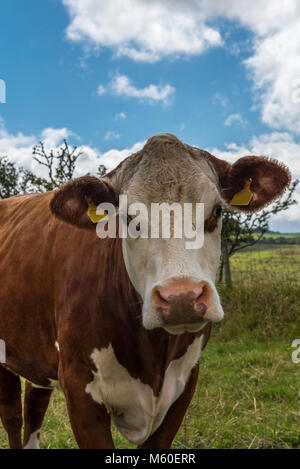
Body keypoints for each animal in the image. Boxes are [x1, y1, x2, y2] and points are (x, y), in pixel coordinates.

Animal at [0, 133, 290, 448]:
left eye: (217, 209)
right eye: (128, 218)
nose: (181, 298)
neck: (153, 353)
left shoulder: (185, 384)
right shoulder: (79, 386)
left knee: (34, 403)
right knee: (13, 416)